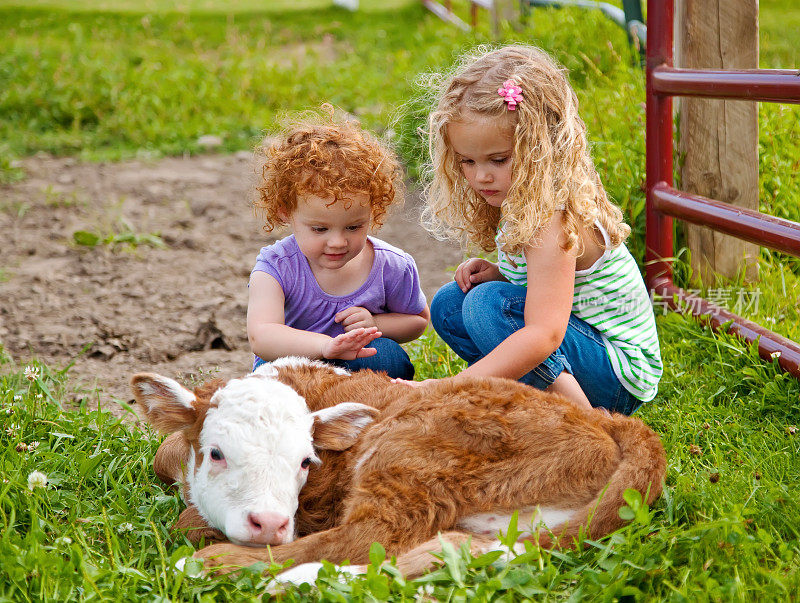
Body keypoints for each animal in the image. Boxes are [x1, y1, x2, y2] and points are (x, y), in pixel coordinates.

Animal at [133, 358, 668, 580]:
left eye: (305, 461)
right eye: (216, 452)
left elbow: (188, 520)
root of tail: (610, 422)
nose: (269, 523)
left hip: (408, 451)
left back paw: (216, 566)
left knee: (366, 538)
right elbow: (164, 455)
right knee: (441, 551)